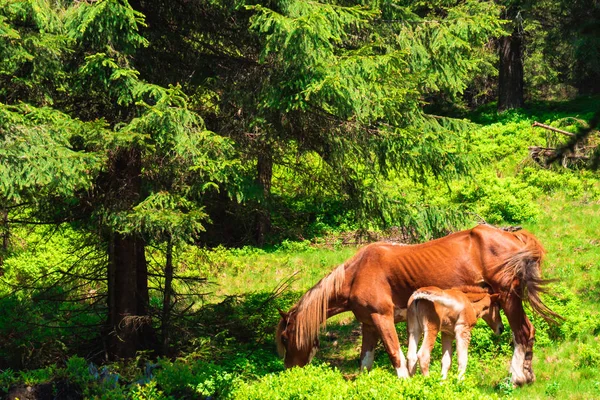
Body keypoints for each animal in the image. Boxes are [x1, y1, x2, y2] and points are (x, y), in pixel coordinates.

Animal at [276, 223, 564, 386]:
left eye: (285, 337)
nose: (289, 370)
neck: (358, 272)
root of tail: (516, 237)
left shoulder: (382, 318)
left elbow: (396, 354)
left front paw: (405, 383)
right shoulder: (368, 324)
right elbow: (365, 361)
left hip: (508, 296)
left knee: (522, 333)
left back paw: (517, 379)